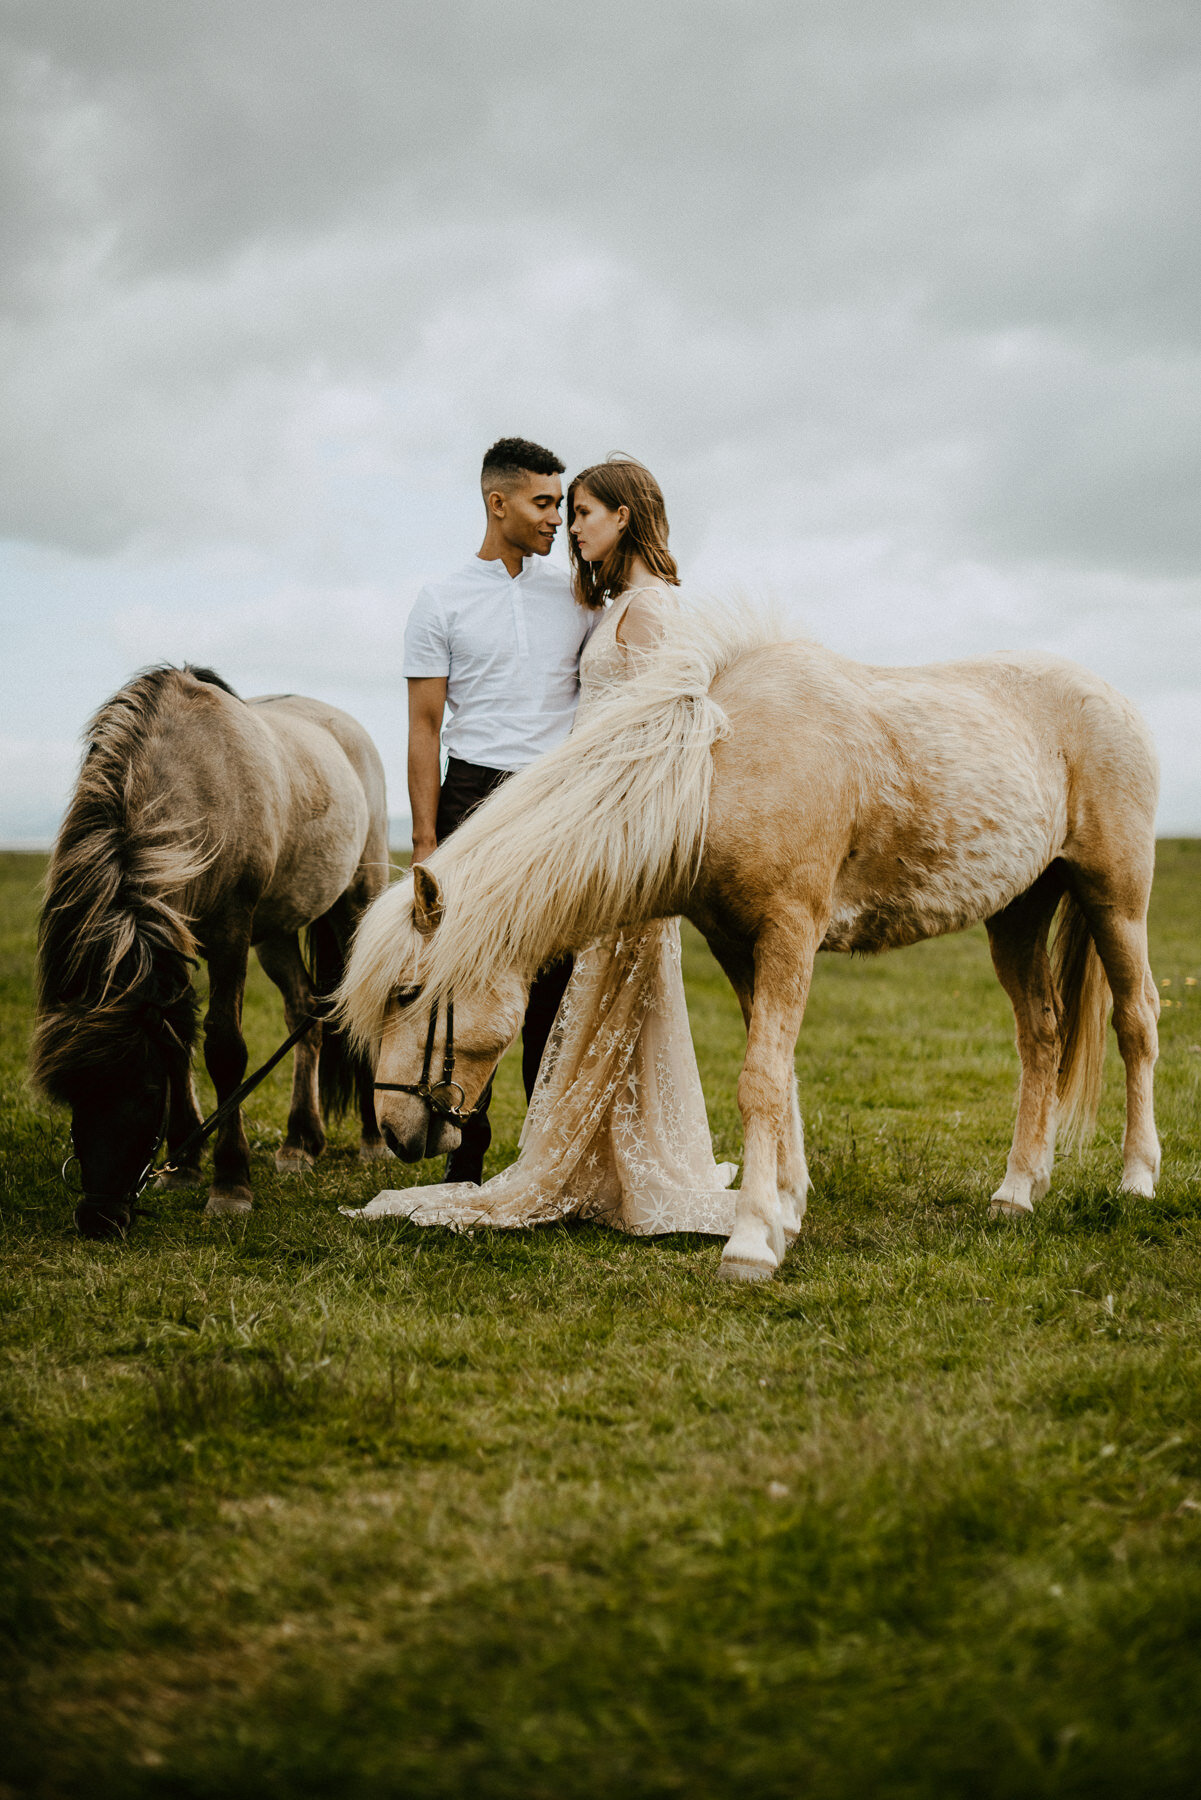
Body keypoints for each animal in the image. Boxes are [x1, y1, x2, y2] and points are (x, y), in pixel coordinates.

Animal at [35, 662, 390, 1238]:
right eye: (74, 1094)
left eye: (145, 1091)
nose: (99, 1218)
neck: (199, 785)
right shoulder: (173, 941)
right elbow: (179, 1041)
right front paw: (184, 1164)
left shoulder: (229, 935)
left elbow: (225, 1049)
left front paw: (230, 1183)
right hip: (276, 934)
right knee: (304, 1015)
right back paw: (300, 1142)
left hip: (355, 902)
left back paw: (373, 1139)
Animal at [333, 612, 1159, 1288]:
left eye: (406, 994)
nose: (396, 1131)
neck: (714, 773)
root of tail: (1111, 697)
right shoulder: (740, 947)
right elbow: (779, 1075)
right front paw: (785, 1208)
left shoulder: (790, 933)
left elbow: (760, 1079)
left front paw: (751, 1243)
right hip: (1017, 913)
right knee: (1041, 1036)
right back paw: (1018, 1190)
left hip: (1114, 898)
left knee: (1135, 1022)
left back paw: (1136, 1179)